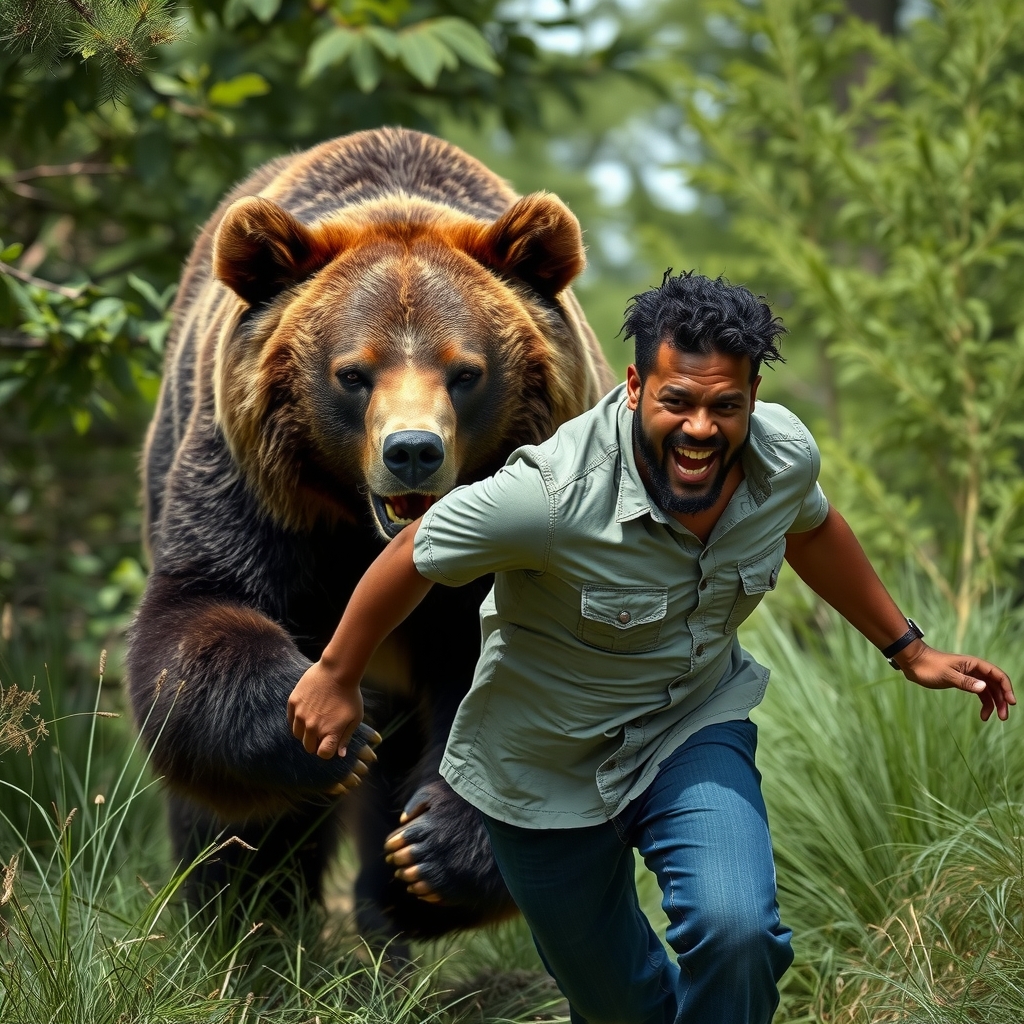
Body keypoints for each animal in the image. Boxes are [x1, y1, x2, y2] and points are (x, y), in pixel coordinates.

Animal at [123, 130, 610, 942]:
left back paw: (391, 900)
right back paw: (245, 923)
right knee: (237, 830)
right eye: (353, 372)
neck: (368, 537)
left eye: (465, 371)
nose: (412, 449)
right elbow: (200, 614)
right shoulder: (257, 497)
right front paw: (315, 729)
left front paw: (434, 850)